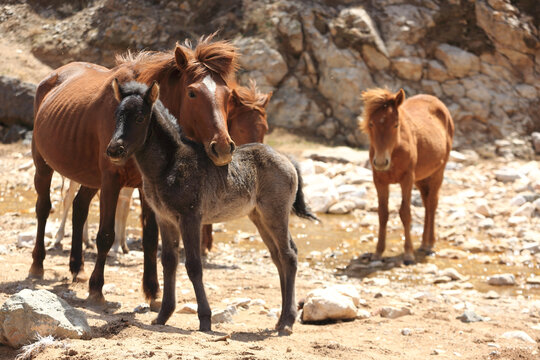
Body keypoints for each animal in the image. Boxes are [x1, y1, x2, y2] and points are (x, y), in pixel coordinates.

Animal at [30, 35, 237, 306]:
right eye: (192, 93)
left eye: (228, 95)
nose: (222, 147)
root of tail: (53, 76)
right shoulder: (111, 181)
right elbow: (106, 235)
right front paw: (97, 288)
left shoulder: (146, 186)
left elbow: (149, 238)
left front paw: (152, 290)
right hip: (43, 165)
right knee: (43, 208)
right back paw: (38, 264)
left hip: (89, 178)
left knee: (79, 208)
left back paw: (77, 268)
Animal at [360, 88, 454, 264]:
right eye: (371, 124)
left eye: (396, 124)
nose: (381, 162)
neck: (395, 150)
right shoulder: (379, 181)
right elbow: (383, 213)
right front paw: (378, 252)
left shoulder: (407, 180)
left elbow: (405, 213)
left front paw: (408, 254)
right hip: (421, 179)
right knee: (426, 203)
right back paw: (423, 243)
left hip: (438, 172)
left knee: (432, 203)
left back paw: (429, 245)